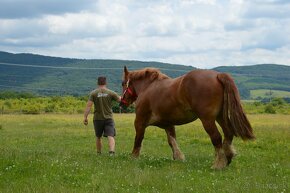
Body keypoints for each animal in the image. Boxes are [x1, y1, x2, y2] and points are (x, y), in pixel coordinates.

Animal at [119, 66, 254, 169]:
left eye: (123, 83)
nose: (122, 103)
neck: (148, 87)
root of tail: (217, 75)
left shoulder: (140, 122)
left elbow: (138, 140)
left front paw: (133, 157)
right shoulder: (168, 124)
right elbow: (172, 141)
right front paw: (178, 157)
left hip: (208, 120)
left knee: (216, 137)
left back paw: (218, 164)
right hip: (220, 117)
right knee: (228, 134)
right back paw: (228, 157)